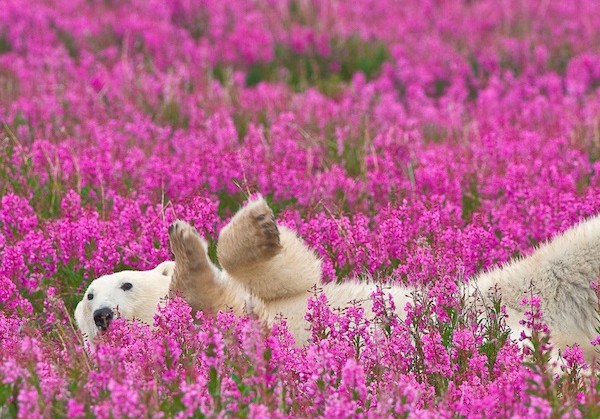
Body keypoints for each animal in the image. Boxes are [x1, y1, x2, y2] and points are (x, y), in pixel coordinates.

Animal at [74, 197, 600, 364]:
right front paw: (188, 254)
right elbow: (223, 306)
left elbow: (296, 275)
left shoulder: (283, 295)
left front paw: (257, 226)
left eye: (123, 284)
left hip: (517, 288)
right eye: (89, 296)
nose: (101, 315)